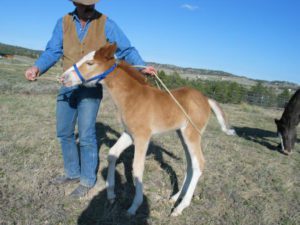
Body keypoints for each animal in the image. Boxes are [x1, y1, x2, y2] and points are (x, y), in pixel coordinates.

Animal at [61, 43, 234, 217]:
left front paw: (134, 207)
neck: (132, 97)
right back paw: (175, 197)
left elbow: (137, 168)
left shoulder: (142, 137)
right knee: (190, 164)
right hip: (182, 134)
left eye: (90, 63)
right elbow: (112, 154)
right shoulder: (129, 134)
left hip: (192, 134)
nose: (63, 78)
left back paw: (180, 208)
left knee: (199, 164)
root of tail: (206, 99)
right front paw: (110, 194)